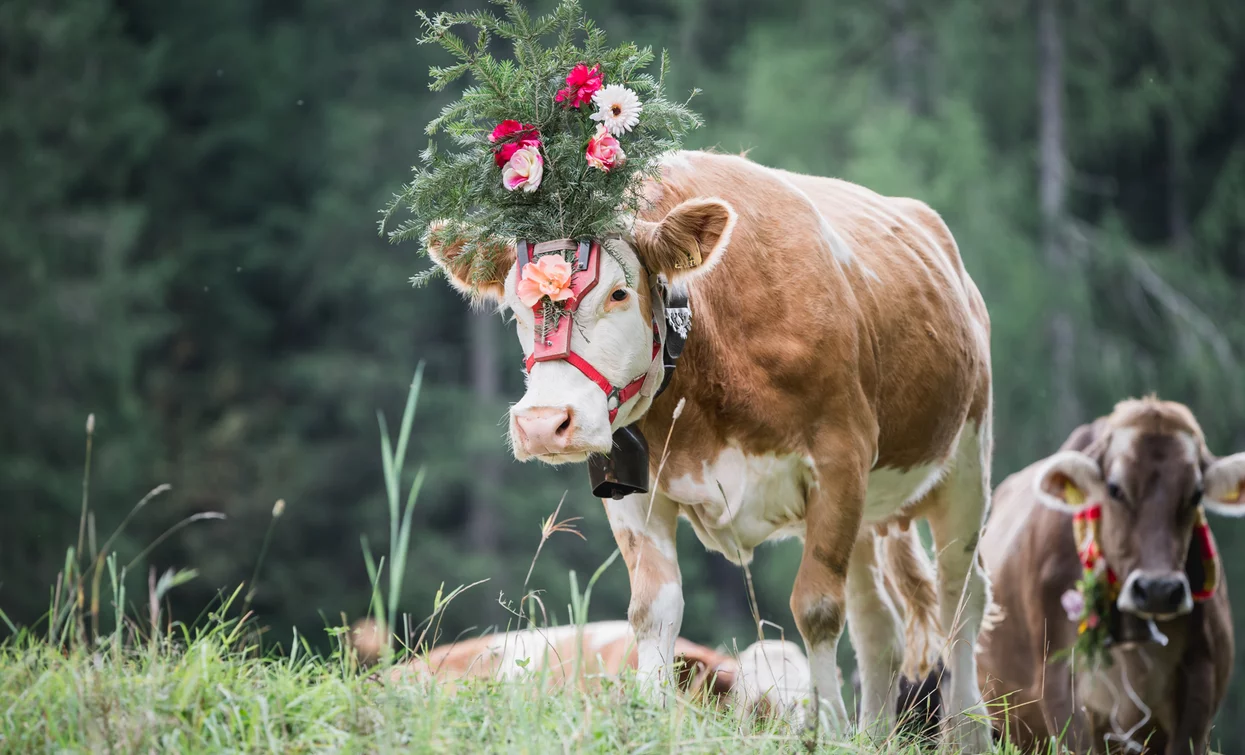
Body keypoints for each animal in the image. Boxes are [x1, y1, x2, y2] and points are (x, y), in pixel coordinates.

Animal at [428, 150, 991, 747]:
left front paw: (827, 733)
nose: (541, 423)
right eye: (515, 306)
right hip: (869, 515)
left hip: (967, 461)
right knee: (878, 624)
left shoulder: (838, 463)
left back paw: (969, 730)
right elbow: (653, 610)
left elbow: (815, 608)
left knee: (960, 597)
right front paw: (649, 722)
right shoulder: (634, 491)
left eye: (618, 293)